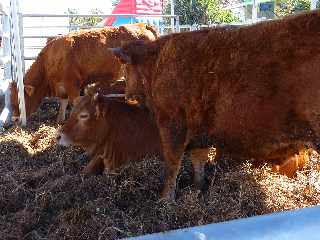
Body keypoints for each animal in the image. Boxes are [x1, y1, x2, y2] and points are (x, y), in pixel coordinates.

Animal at [10, 22, 159, 123]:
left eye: (18, 101)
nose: (15, 119)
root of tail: (142, 25)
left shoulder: (72, 83)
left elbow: (74, 103)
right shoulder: (62, 86)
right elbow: (63, 102)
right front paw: (60, 120)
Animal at [111, 10, 320, 200]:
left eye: (125, 67)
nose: (127, 96)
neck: (156, 64)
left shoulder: (171, 123)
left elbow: (172, 164)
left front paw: (165, 199)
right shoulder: (199, 131)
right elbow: (198, 159)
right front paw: (198, 187)